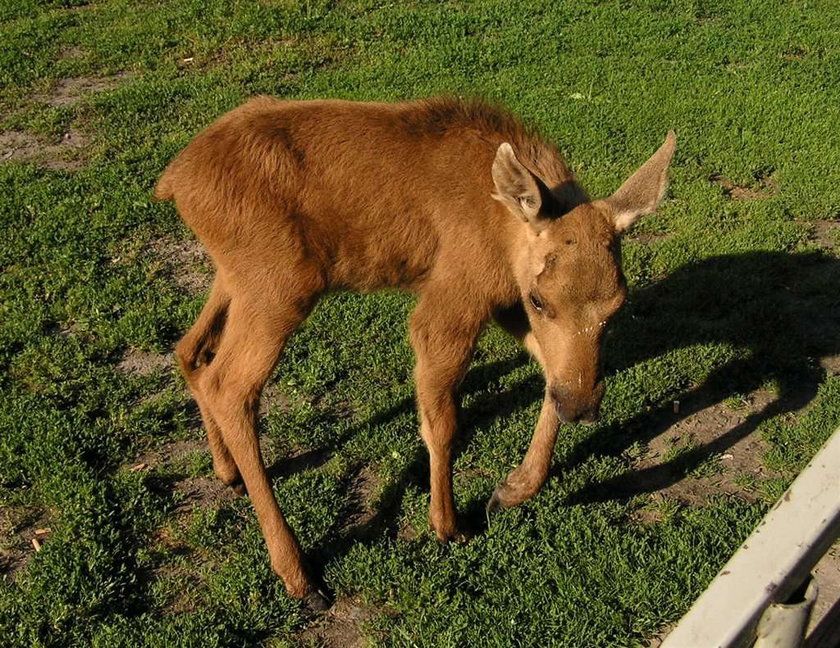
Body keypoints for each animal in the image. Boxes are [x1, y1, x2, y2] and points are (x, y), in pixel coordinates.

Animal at [156, 96, 676, 608]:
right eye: (540, 298)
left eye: (618, 302)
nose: (582, 408)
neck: (502, 230)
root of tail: (172, 183)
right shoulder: (455, 302)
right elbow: (442, 424)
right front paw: (447, 524)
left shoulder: (503, 306)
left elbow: (551, 376)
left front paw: (511, 488)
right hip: (280, 285)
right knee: (230, 386)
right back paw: (299, 575)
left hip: (235, 279)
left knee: (192, 351)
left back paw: (226, 471)